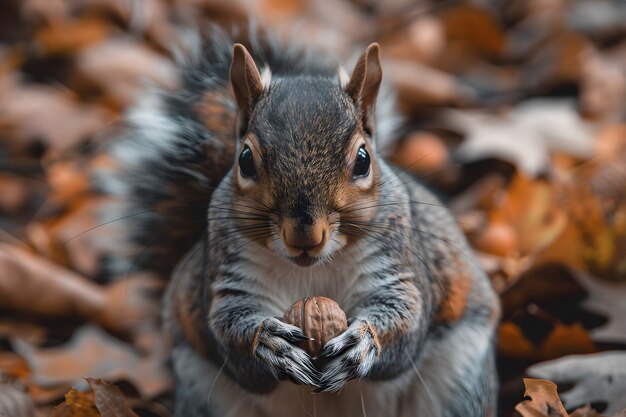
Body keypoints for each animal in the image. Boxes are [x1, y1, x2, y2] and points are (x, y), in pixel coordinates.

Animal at [105, 27, 500, 414]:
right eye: (245, 160)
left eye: (363, 160)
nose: (305, 237)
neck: (311, 271)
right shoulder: (227, 277)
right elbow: (229, 338)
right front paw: (268, 343)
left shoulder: (400, 267)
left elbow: (407, 324)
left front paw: (363, 342)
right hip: (204, 393)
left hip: (458, 380)